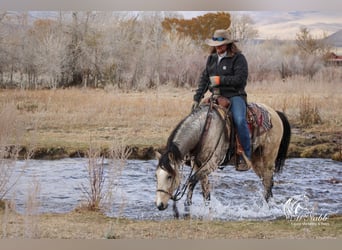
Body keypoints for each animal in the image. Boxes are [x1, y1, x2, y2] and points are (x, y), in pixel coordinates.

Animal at [155, 96, 292, 218]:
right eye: (156, 176)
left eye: (169, 176)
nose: (159, 205)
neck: (204, 130)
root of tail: (275, 113)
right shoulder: (198, 164)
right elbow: (205, 190)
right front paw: (208, 211)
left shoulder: (212, 163)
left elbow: (191, 181)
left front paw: (185, 210)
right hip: (256, 161)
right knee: (267, 182)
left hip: (268, 158)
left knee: (268, 183)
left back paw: (266, 210)